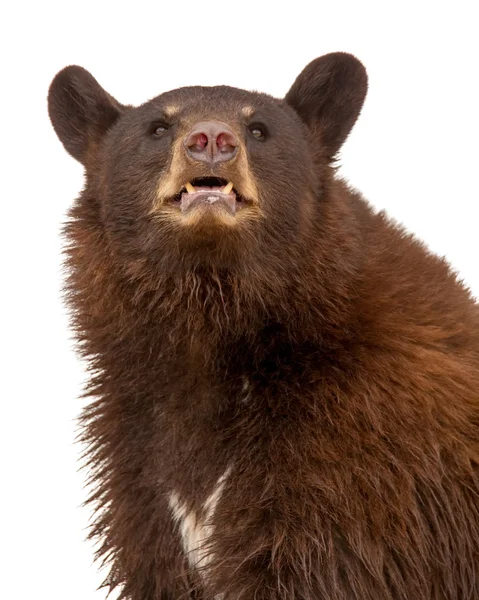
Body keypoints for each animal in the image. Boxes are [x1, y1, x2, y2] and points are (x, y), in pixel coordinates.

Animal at [47, 52, 479, 600]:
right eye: (158, 127)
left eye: (259, 129)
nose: (212, 140)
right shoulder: (139, 453)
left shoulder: (360, 454)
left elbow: (314, 565)